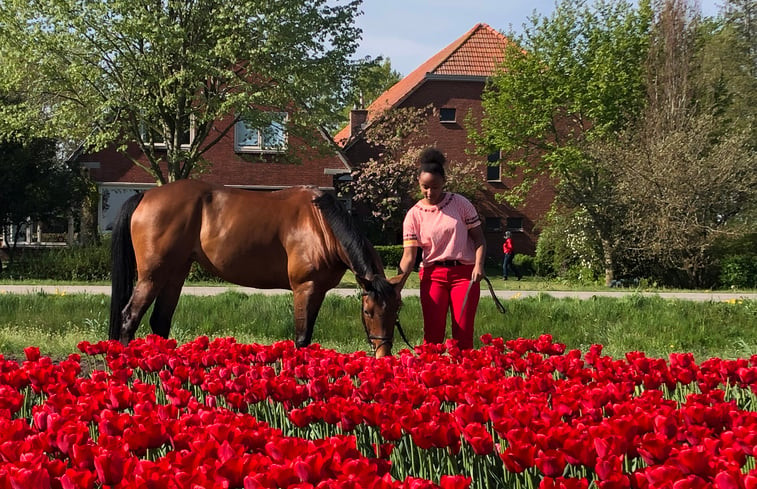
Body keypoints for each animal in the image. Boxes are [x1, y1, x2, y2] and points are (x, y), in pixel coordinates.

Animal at [108, 179, 408, 354]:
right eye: (368, 311)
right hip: (152, 276)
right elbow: (302, 338)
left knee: (160, 322)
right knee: (129, 318)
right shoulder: (305, 289)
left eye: (396, 310)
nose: (383, 354)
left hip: (175, 274)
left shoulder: (319, 291)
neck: (321, 224)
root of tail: (145, 196)